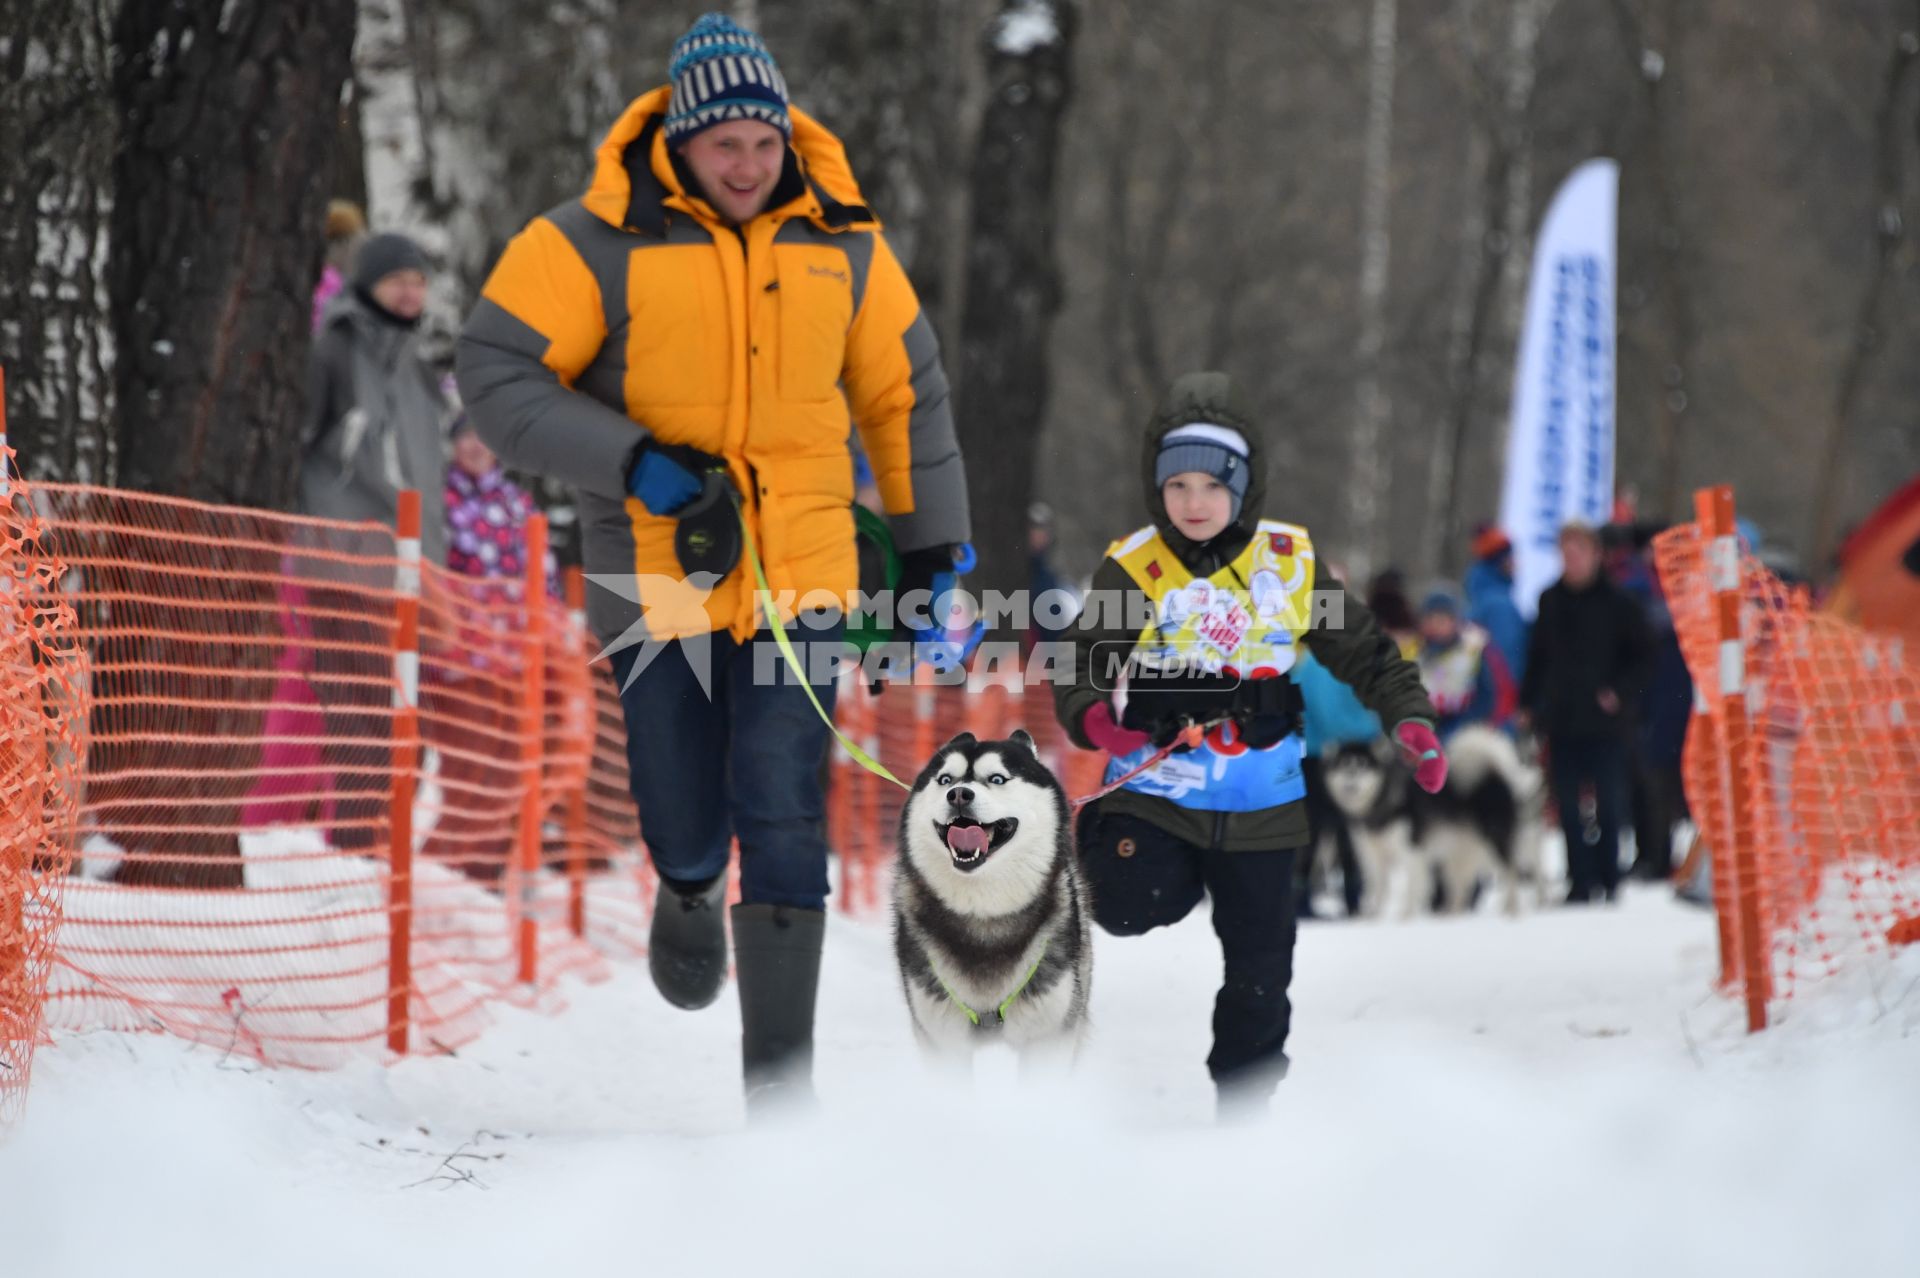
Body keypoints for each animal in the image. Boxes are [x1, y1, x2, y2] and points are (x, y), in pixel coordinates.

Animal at [887, 733, 1090, 1059]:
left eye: (996, 778)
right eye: (945, 779)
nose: (958, 794)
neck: (983, 913)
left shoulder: (1049, 1035)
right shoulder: (942, 1038)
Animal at [1320, 717, 1543, 917]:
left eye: (1363, 767)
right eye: (1343, 767)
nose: (1350, 785)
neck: (1380, 802)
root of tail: (1493, 772)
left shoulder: (1411, 849)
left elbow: (1412, 887)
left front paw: (1405, 917)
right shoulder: (1372, 856)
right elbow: (1377, 890)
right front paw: (1371, 918)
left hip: (1493, 842)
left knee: (1510, 874)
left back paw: (1511, 911)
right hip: (1460, 852)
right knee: (1461, 887)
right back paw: (1451, 916)